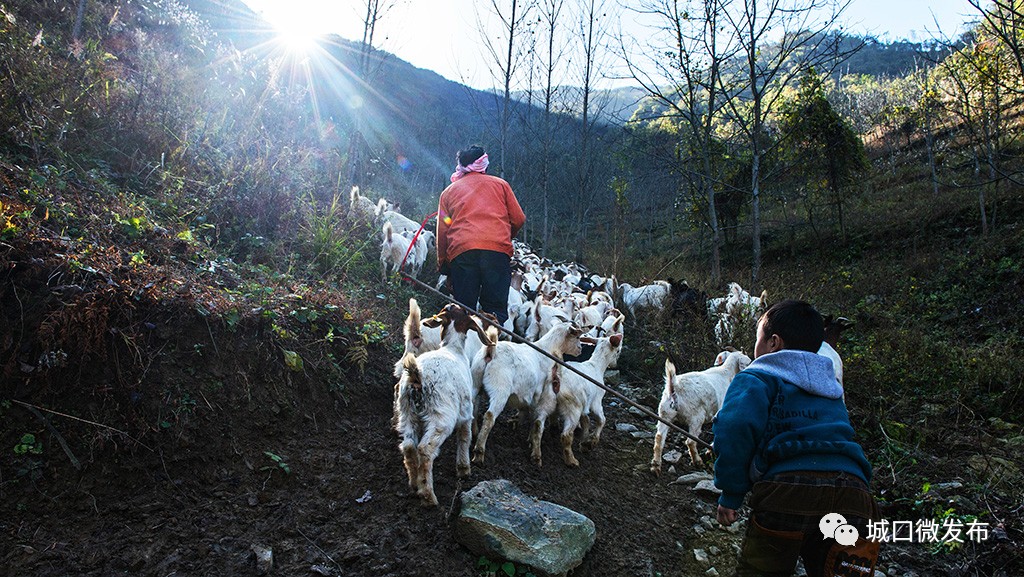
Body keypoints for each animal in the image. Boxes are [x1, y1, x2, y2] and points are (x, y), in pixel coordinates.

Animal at [393, 305, 489, 504]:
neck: (453, 348)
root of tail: (417, 377)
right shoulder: (465, 413)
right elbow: (465, 438)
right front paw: (464, 469)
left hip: (407, 412)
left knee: (408, 446)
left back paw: (414, 485)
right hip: (441, 416)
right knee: (425, 449)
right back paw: (428, 496)